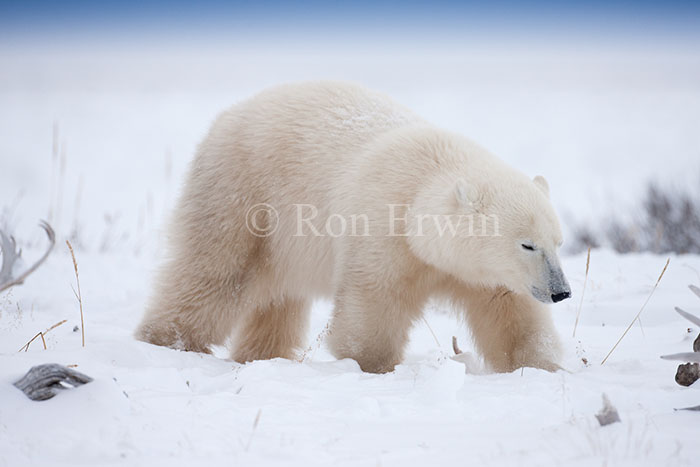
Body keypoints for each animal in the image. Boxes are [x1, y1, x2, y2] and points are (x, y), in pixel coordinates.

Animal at [135, 81, 571, 374]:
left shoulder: (481, 273)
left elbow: (510, 313)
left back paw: (262, 355)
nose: (561, 291)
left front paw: (539, 366)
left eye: (558, 242)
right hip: (242, 193)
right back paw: (167, 341)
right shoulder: (384, 227)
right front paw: (370, 365)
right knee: (213, 271)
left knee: (277, 297)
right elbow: (375, 303)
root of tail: (228, 114)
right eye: (527, 244)